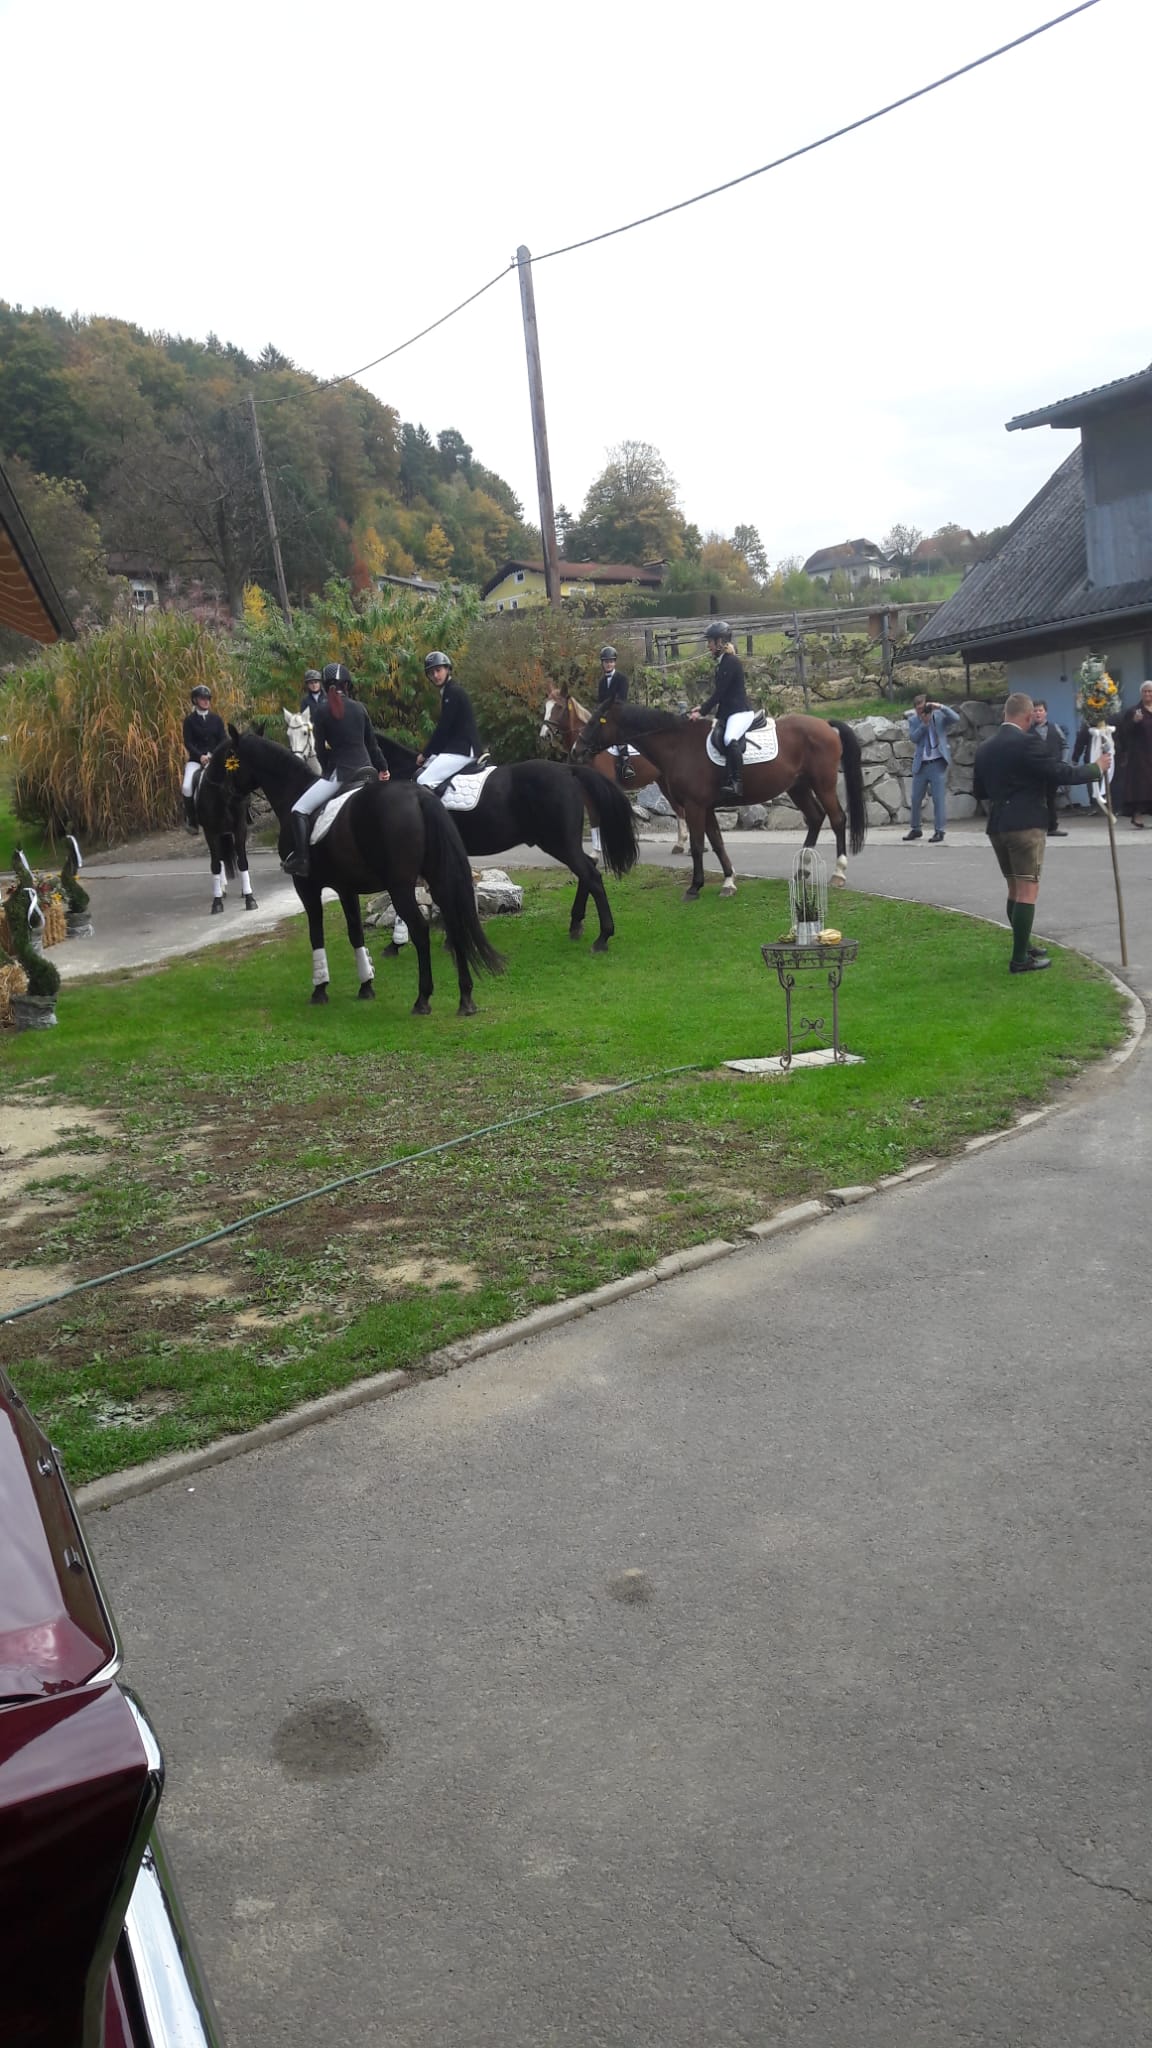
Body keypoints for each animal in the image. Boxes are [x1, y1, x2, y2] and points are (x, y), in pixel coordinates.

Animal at [189, 761, 258, 917]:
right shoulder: (211, 832)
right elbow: (215, 865)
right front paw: (217, 902)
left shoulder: (240, 827)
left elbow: (242, 861)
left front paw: (249, 898)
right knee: (220, 859)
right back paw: (222, 890)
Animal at [197, 729, 504, 1014]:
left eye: (226, 758)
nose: (216, 791)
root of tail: (419, 795)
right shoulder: (346, 888)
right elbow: (356, 932)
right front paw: (366, 984)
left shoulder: (306, 887)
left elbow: (316, 934)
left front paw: (320, 989)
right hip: (436, 878)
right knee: (454, 923)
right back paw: (465, 998)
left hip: (400, 887)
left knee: (420, 930)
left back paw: (422, 999)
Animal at [283, 710, 639, 952]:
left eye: (311, 735)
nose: (317, 773)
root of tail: (567, 770)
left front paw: (410, 941)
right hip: (561, 842)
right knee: (587, 872)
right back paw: (576, 923)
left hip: (558, 842)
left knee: (591, 875)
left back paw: (602, 936)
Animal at [538, 688, 690, 856]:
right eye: (546, 706)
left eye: (559, 707)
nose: (544, 734)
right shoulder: (587, 791)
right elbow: (594, 819)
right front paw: (595, 853)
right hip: (663, 782)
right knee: (679, 809)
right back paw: (680, 844)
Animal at [573, 701, 867, 900]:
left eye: (595, 721)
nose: (576, 751)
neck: (678, 745)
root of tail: (824, 724)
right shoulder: (705, 808)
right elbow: (716, 841)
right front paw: (728, 881)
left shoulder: (694, 806)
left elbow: (697, 844)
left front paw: (695, 886)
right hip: (799, 787)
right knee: (816, 817)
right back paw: (802, 869)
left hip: (823, 784)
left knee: (837, 819)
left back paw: (838, 873)